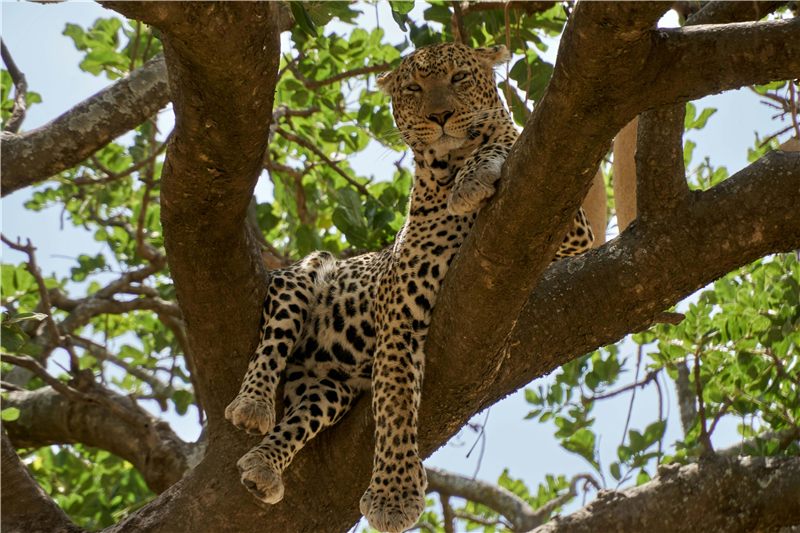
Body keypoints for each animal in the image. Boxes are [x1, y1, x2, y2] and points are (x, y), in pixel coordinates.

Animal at [225, 42, 594, 532]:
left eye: (459, 78)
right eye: (415, 89)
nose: (440, 115)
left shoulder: (570, 230)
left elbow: (503, 140)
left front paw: (477, 173)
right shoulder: (400, 310)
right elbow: (396, 403)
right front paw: (394, 497)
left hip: (330, 390)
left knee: (302, 417)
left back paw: (264, 465)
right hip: (301, 276)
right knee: (271, 346)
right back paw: (252, 407)